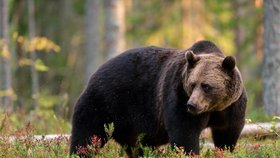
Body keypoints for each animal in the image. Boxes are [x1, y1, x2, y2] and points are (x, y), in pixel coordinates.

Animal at [70, 40, 247, 157]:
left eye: (206, 86)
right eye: (192, 84)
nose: (192, 104)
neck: (214, 107)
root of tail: (95, 73)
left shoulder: (232, 107)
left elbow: (228, 133)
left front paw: (225, 150)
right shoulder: (178, 94)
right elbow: (185, 133)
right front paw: (189, 152)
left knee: (137, 146)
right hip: (105, 102)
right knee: (87, 134)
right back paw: (79, 152)